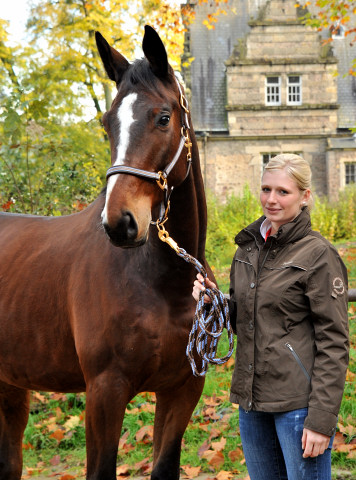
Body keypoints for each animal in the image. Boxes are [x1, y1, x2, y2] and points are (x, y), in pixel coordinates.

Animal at [0, 25, 211, 480]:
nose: (120, 223)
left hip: (10, 385)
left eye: (163, 117)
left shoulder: (182, 389)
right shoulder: (104, 393)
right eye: (107, 122)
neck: (165, 284)